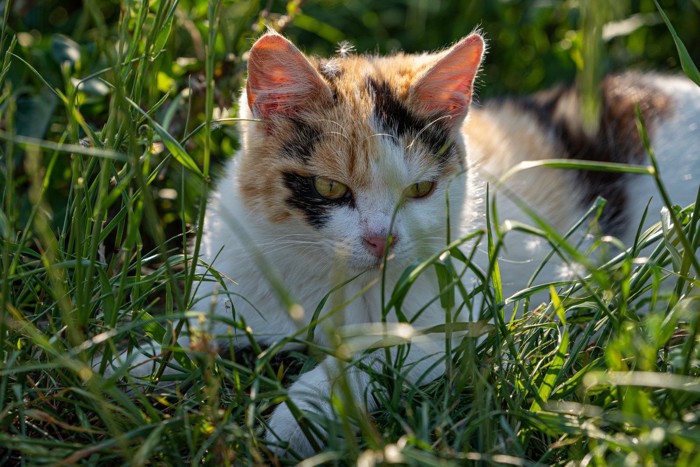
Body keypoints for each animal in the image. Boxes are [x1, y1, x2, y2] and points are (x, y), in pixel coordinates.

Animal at [106, 32, 696, 458]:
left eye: (420, 190)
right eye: (330, 189)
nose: (380, 240)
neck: (325, 282)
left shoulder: (458, 327)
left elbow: (370, 356)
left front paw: (296, 418)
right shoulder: (235, 292)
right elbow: (189, 338)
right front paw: (117, 366)